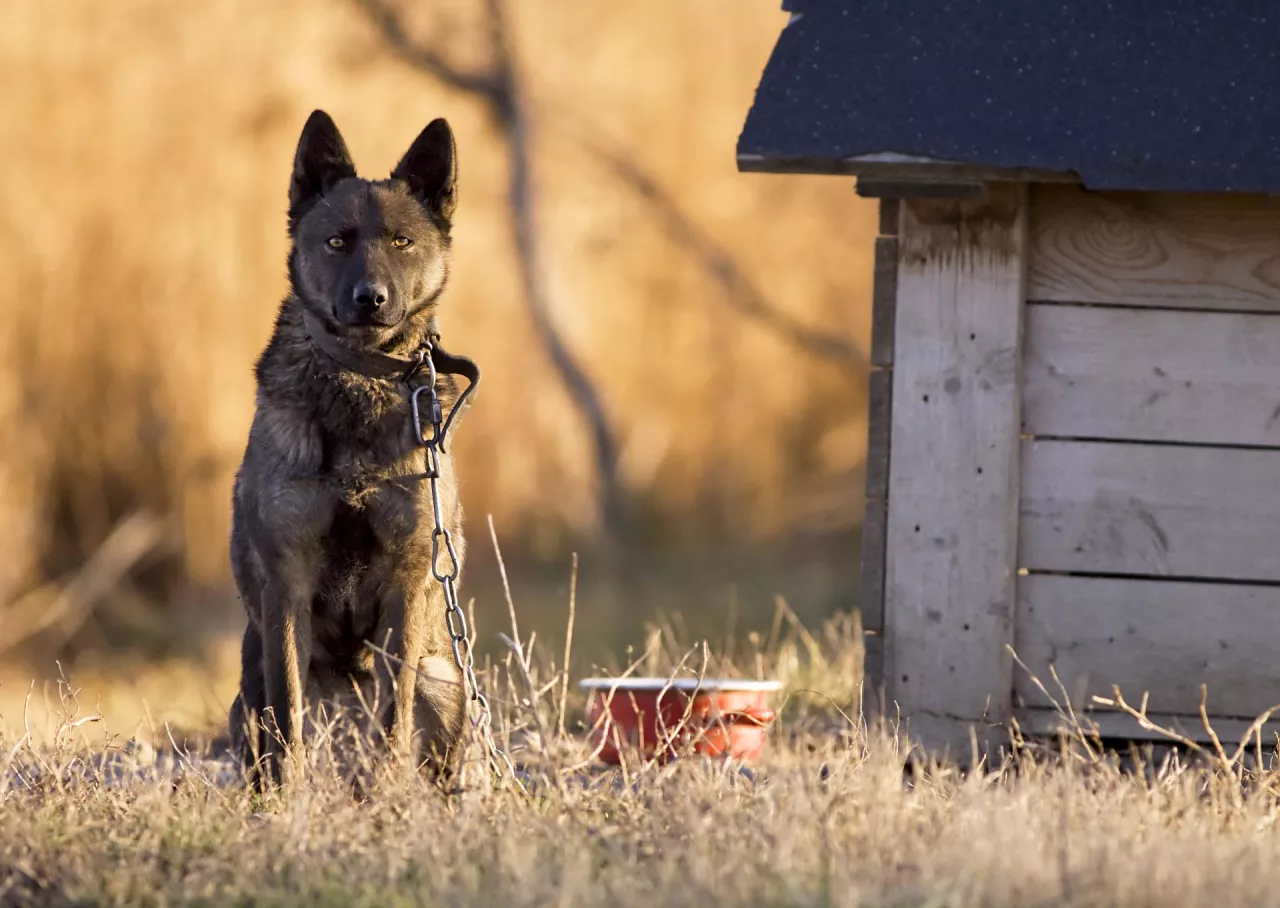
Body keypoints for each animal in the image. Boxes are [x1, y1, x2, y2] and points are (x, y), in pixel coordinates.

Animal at [227, 109, 473, 788]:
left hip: (448, 684)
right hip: (245, 688)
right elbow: (289, 713)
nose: (371, 299)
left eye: (402, 242)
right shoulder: (286, 584)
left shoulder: (408, 580)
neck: (359, 382)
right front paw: (290, 797)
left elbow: (394, 710)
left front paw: (389, 793)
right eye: (337, 242)